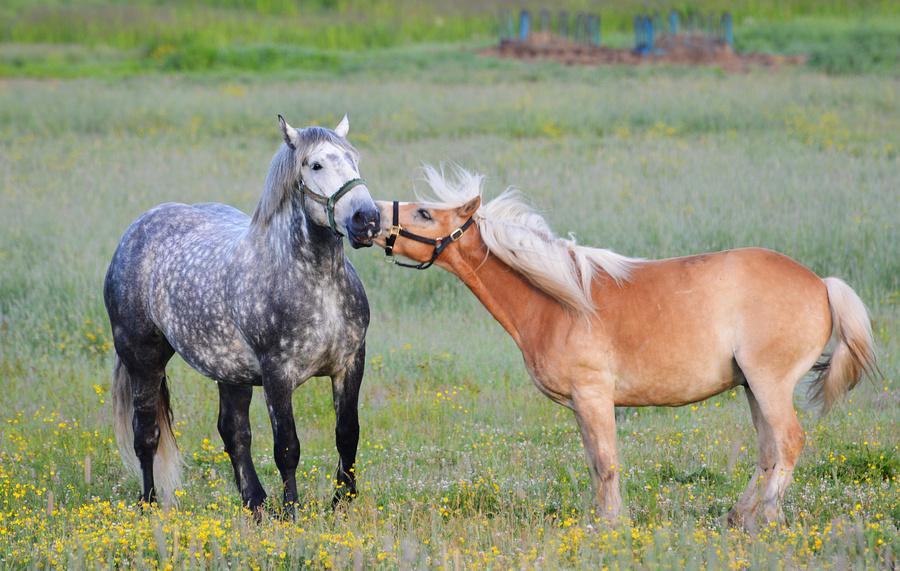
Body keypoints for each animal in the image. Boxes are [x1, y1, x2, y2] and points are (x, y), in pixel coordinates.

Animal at [104, 115, 380, 516]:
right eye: (315, 165)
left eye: (354, 159)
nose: (368, 219)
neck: (318, 286)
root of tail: (137, 230)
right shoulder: (278, 374)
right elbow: (287, 448)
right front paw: (292, 512)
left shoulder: (350, 364)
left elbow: (347, 435)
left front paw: (343, 503)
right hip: (143, 360)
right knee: (146, 436)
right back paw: (149, 505)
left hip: (230, 373)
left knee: (233, 433)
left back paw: (256, 503)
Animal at [373, 165, 877, 528]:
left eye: (424, 214)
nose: (370, 216)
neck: (560, 303)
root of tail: (821, 284)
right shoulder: (582, 405)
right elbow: (596, 463)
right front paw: (603, 520)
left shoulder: (594, 397)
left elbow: (606, 462)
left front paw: (612, 525)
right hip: (753, 387)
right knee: (768, 451)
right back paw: (738, 516)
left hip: (769, 384)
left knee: (788, 443)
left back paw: (768, 516)